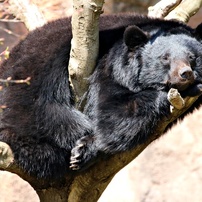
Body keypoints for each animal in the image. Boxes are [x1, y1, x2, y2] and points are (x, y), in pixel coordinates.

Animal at [0, 13, 201, 178]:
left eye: (192, 57)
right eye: (165, 58)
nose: (185, 74)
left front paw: (83, 150)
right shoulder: (107, 66)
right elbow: (112, 115)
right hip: (31, 95)